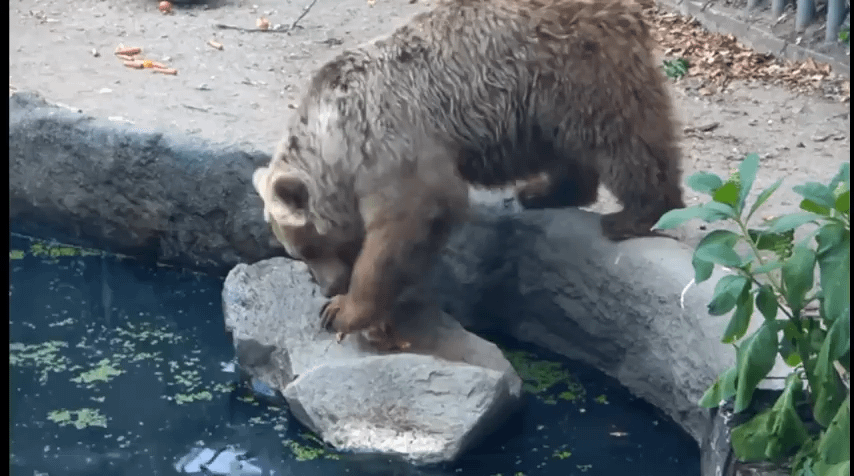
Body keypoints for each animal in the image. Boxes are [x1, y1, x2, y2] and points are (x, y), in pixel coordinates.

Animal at [253, 0, 684, 349]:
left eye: (307, 247)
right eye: (296, 252)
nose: (325, 285)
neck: (334, 139)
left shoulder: (388, 143)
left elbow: (409, 219)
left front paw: (344, 312)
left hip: (579, 67)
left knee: (625, 136)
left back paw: (636, 214)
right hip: (542, 104)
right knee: (565, 145)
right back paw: (543, 191)